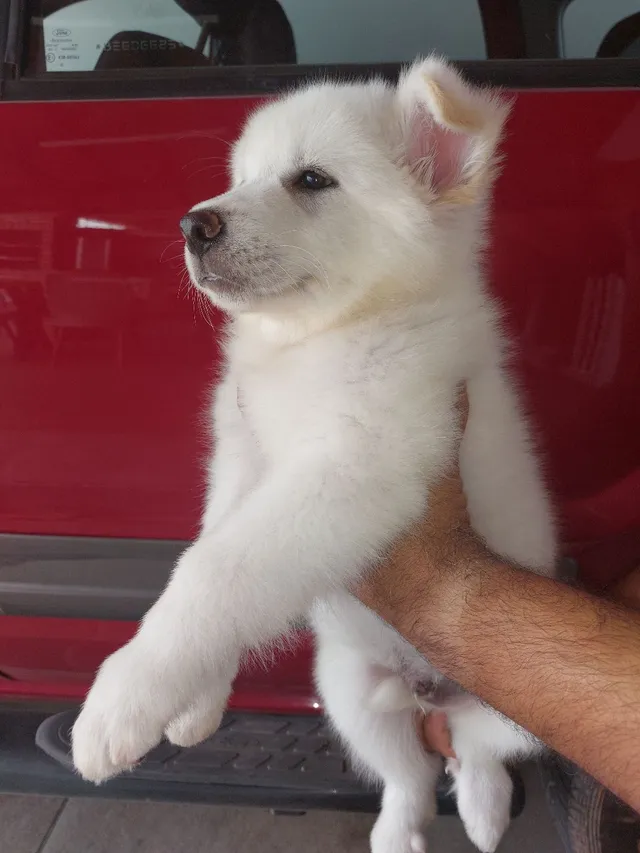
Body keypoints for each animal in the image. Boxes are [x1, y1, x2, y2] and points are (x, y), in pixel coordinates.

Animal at [72, 58, 556, 852]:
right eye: (242, 178)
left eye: (311, 180)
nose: (193, 224)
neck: (315, 340)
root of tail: (428, 690)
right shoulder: (242, 460)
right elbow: (208, 546)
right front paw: (195, 702)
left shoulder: (355, 466)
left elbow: (215, 570)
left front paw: (123, 701)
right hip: (349, 693)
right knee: (412, 775)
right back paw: (399, 831)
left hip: (521, 706)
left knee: (477, 751)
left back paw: (485, 811)